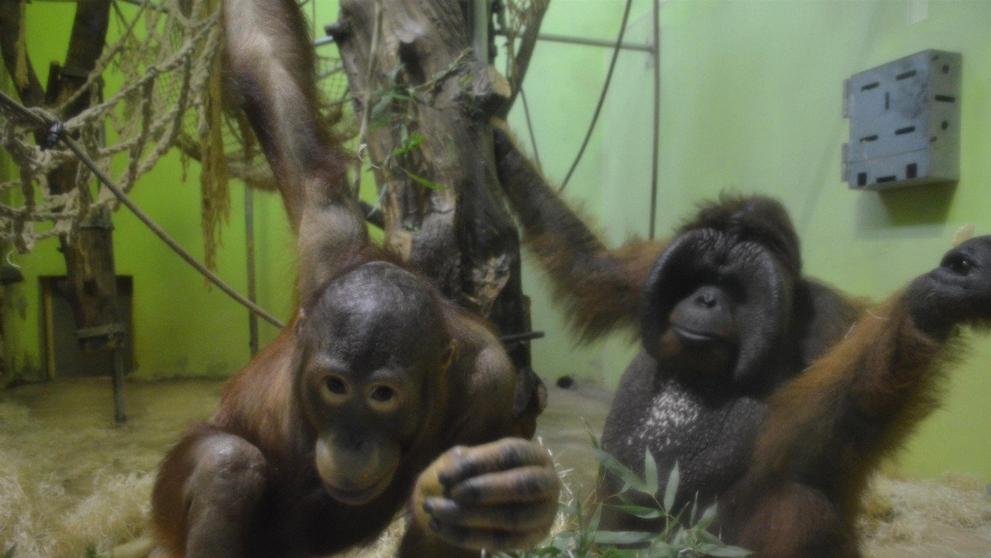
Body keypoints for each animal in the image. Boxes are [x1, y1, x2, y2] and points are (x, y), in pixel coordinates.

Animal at [491, 126, 991, 557]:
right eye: (701, 277)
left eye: (732, 285)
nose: (707, 298)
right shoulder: (649, 269)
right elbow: (594, 272)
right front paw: (499, 142)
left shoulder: (832, 320)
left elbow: (846, 428)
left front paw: (938, 295)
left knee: (800, 507)